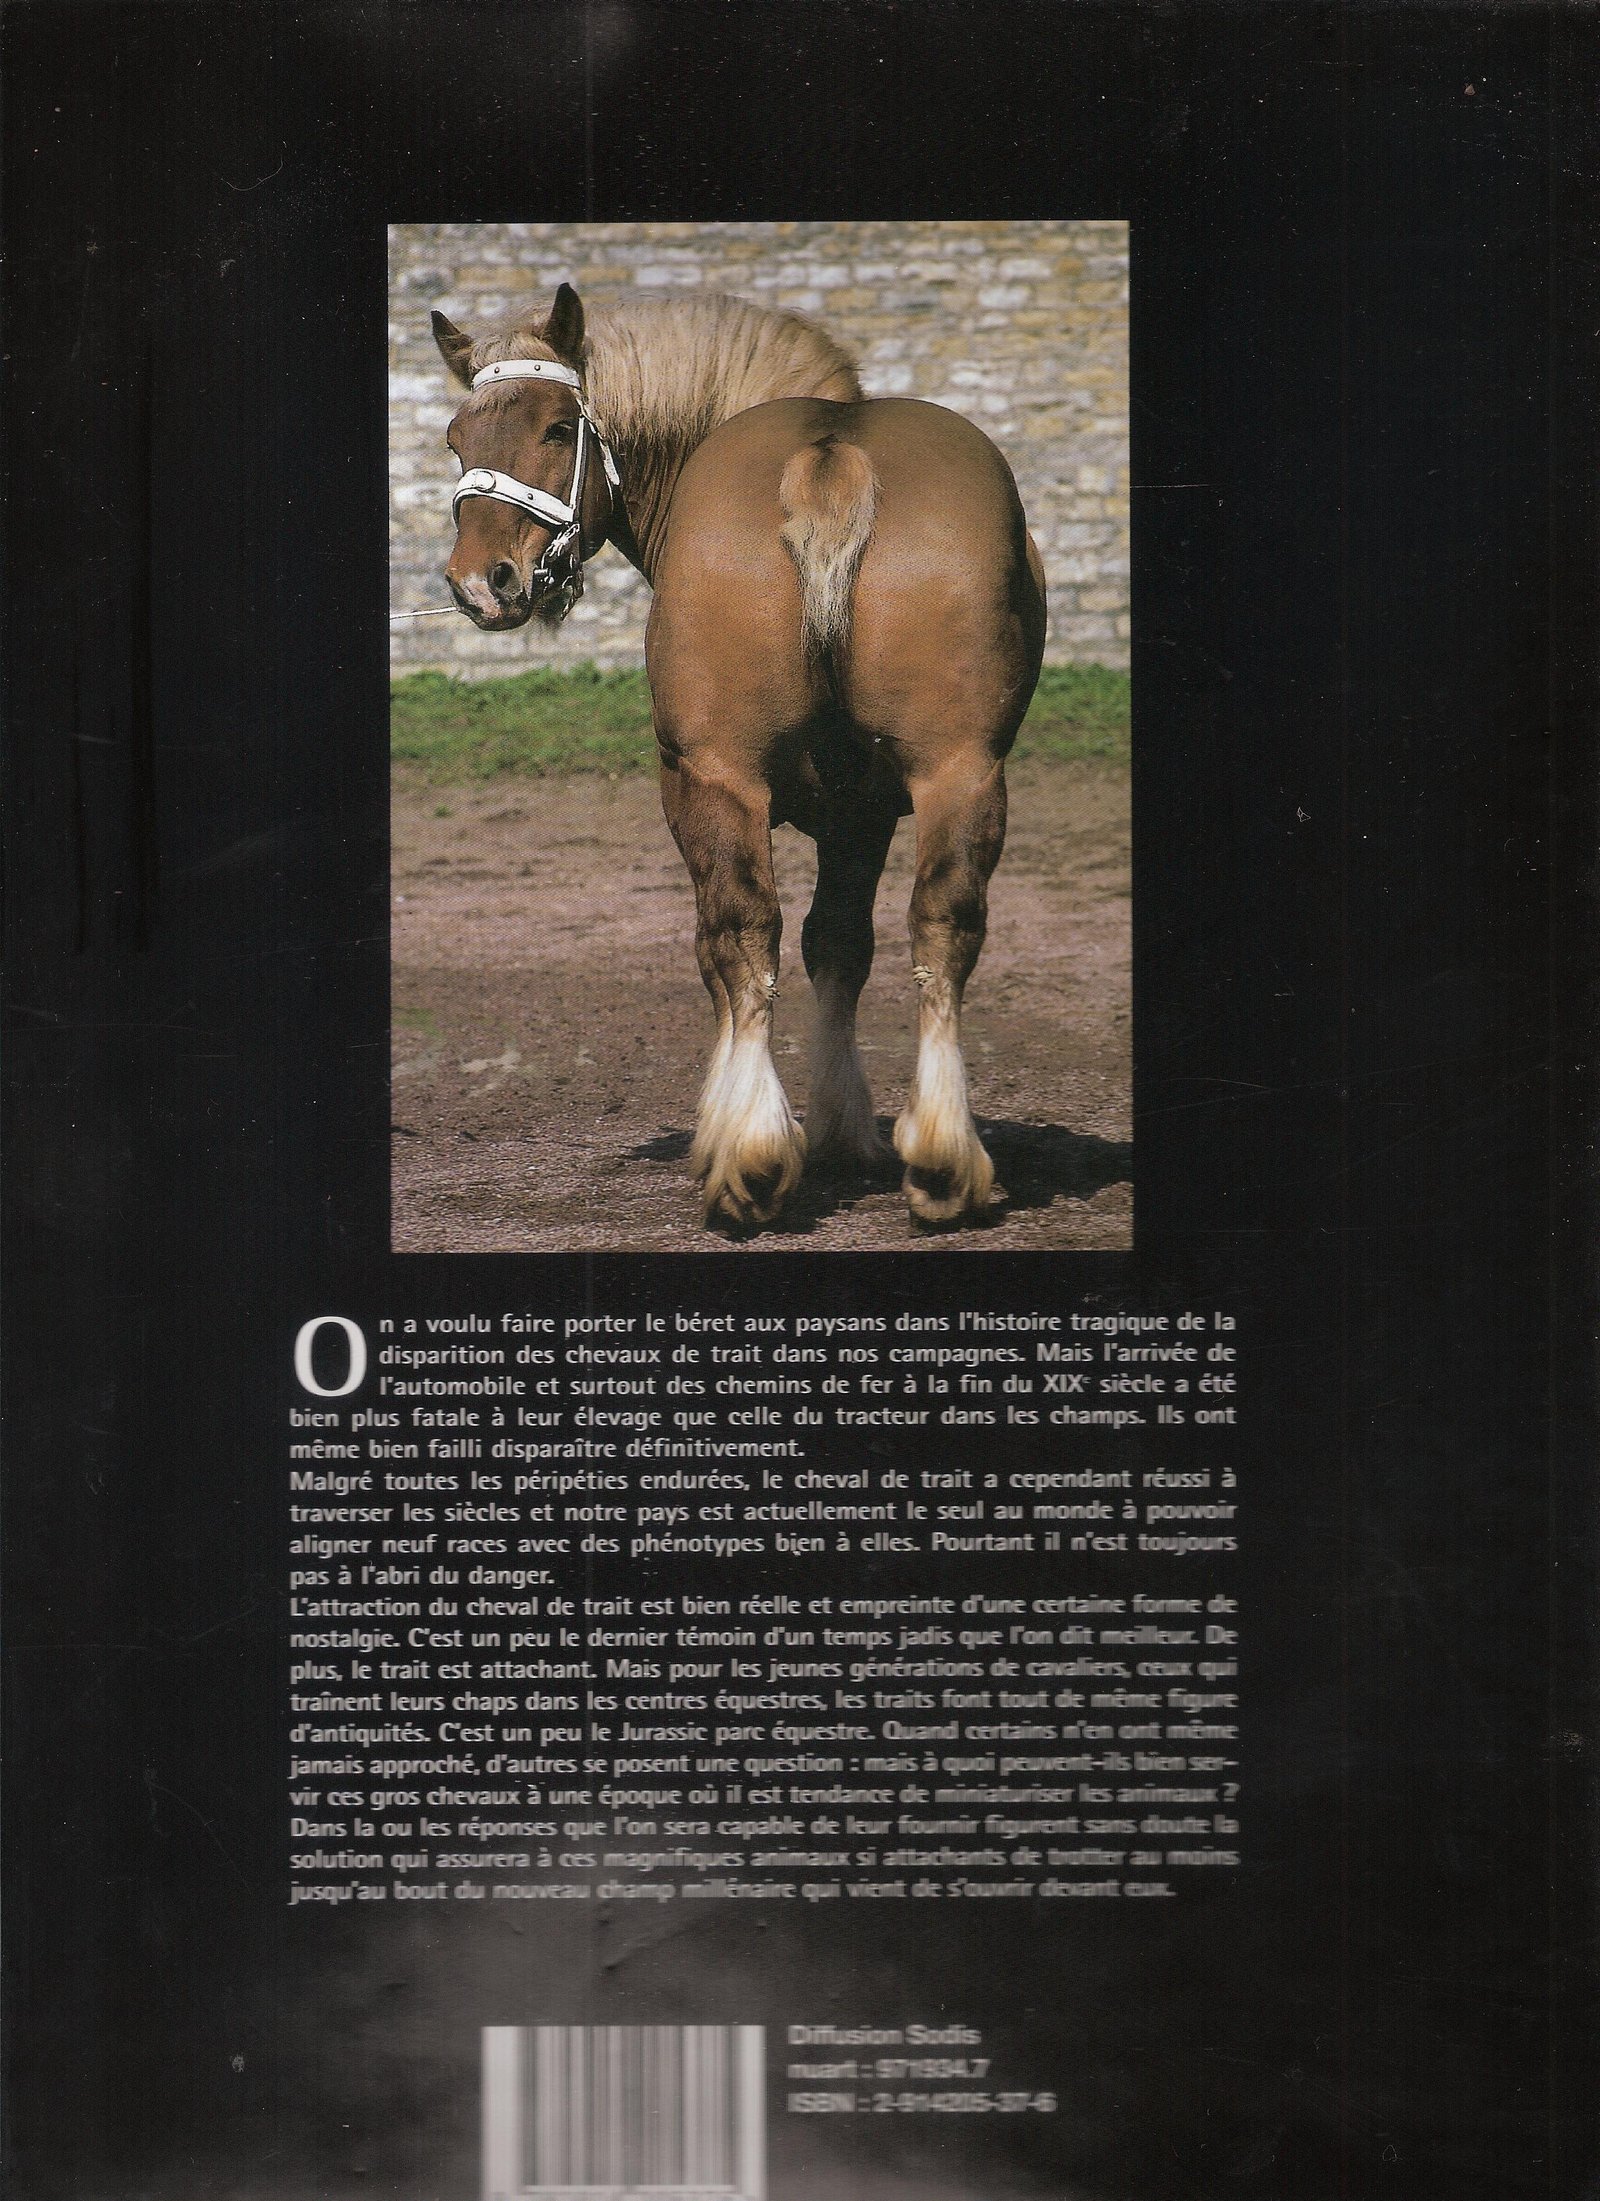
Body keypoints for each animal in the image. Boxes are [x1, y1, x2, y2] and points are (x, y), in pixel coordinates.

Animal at [430, 282, 1047, 1233]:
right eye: (458, 439)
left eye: (559, 429)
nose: (479, 582)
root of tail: (832, 455)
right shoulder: (862, 812)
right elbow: (840, 944)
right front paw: (844, 1130)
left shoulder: (703, 780)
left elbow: (734, 949)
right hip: (960, 772)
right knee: (943, 927)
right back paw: (942, 1159)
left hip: (713, 778)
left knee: (738, 936)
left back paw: (748, 1159)